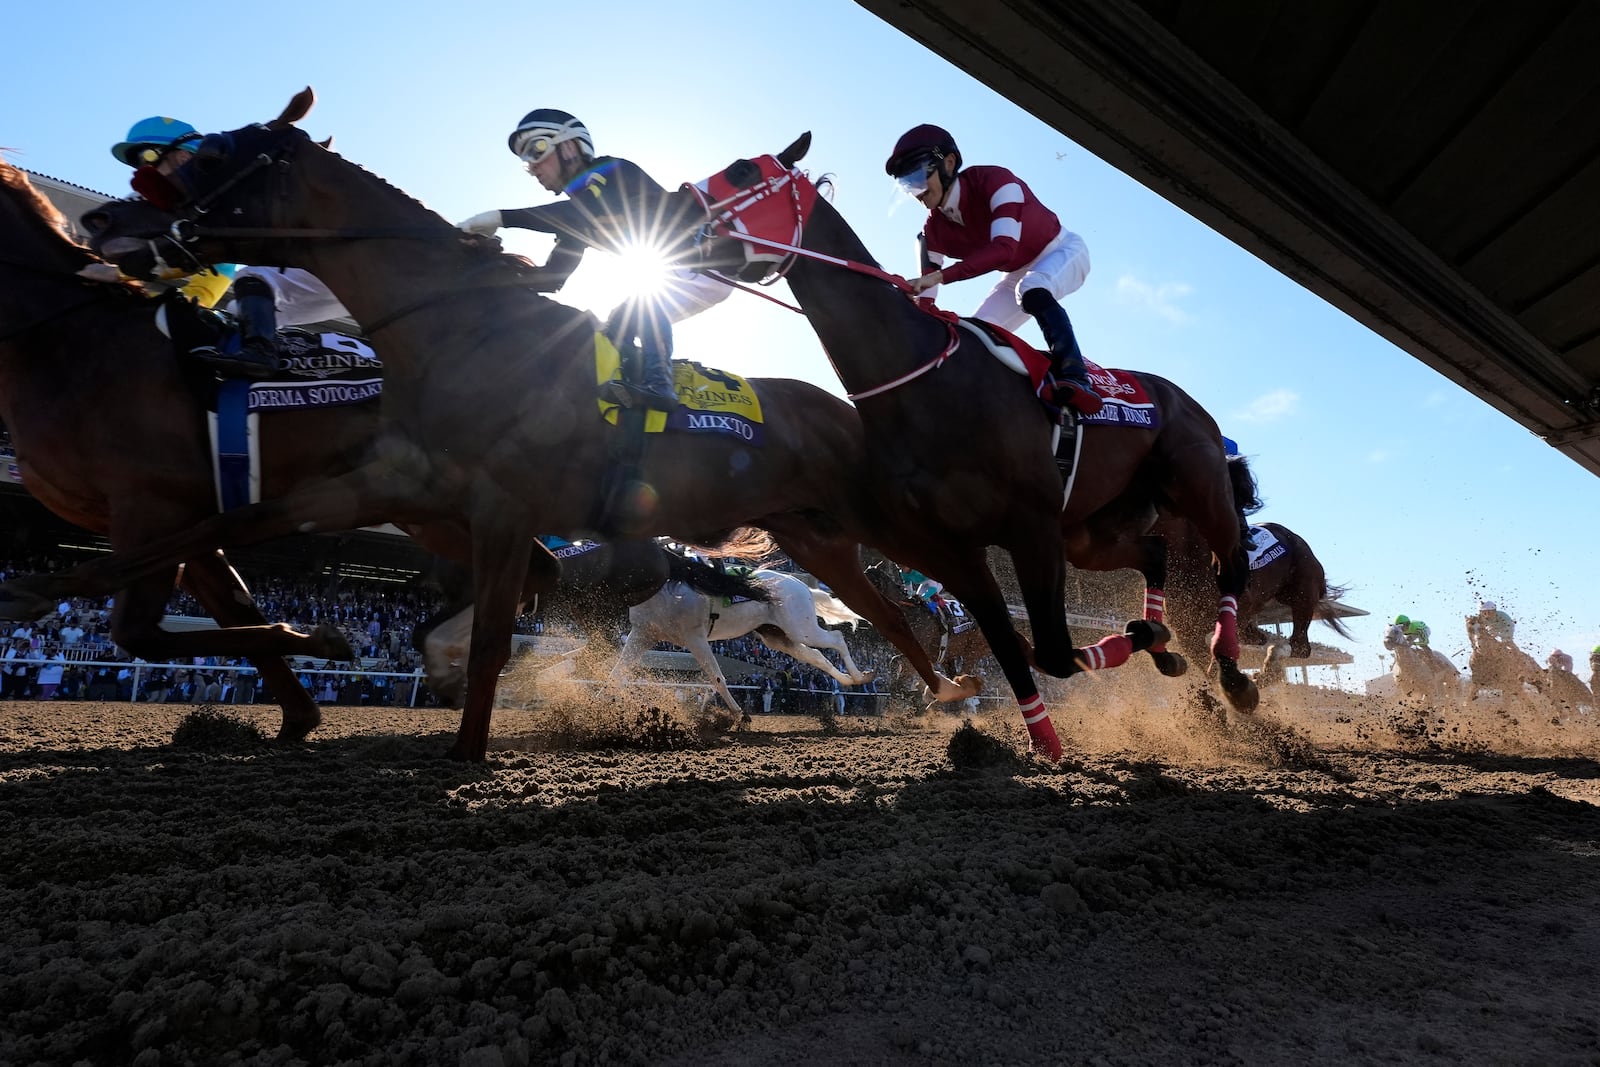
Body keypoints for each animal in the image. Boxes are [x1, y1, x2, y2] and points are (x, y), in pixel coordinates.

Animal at [601, 566, 876, 716]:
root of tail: (801, 584)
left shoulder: (695, 637)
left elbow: (717, 677)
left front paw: (738, 714)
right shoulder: (643, 634)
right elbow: (615, 673)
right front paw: (597, 703)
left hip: (800, 627)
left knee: (837, 638)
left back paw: (861, 675)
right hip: (777, 636)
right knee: (817, 656)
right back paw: (849, 680)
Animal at [681, 135, 1267, 742]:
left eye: (743, 172)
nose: (674, 206)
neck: (927, 383)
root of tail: (1183, 399)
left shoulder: (1030, 527)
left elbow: (1051, 652)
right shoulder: (957, 544)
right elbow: (1016, 647)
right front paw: (1042, 729)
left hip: (1198, 487)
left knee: (1230, 566)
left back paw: (1232, 676)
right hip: (1089, 531)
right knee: (1153, 552)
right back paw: (1166, 647)